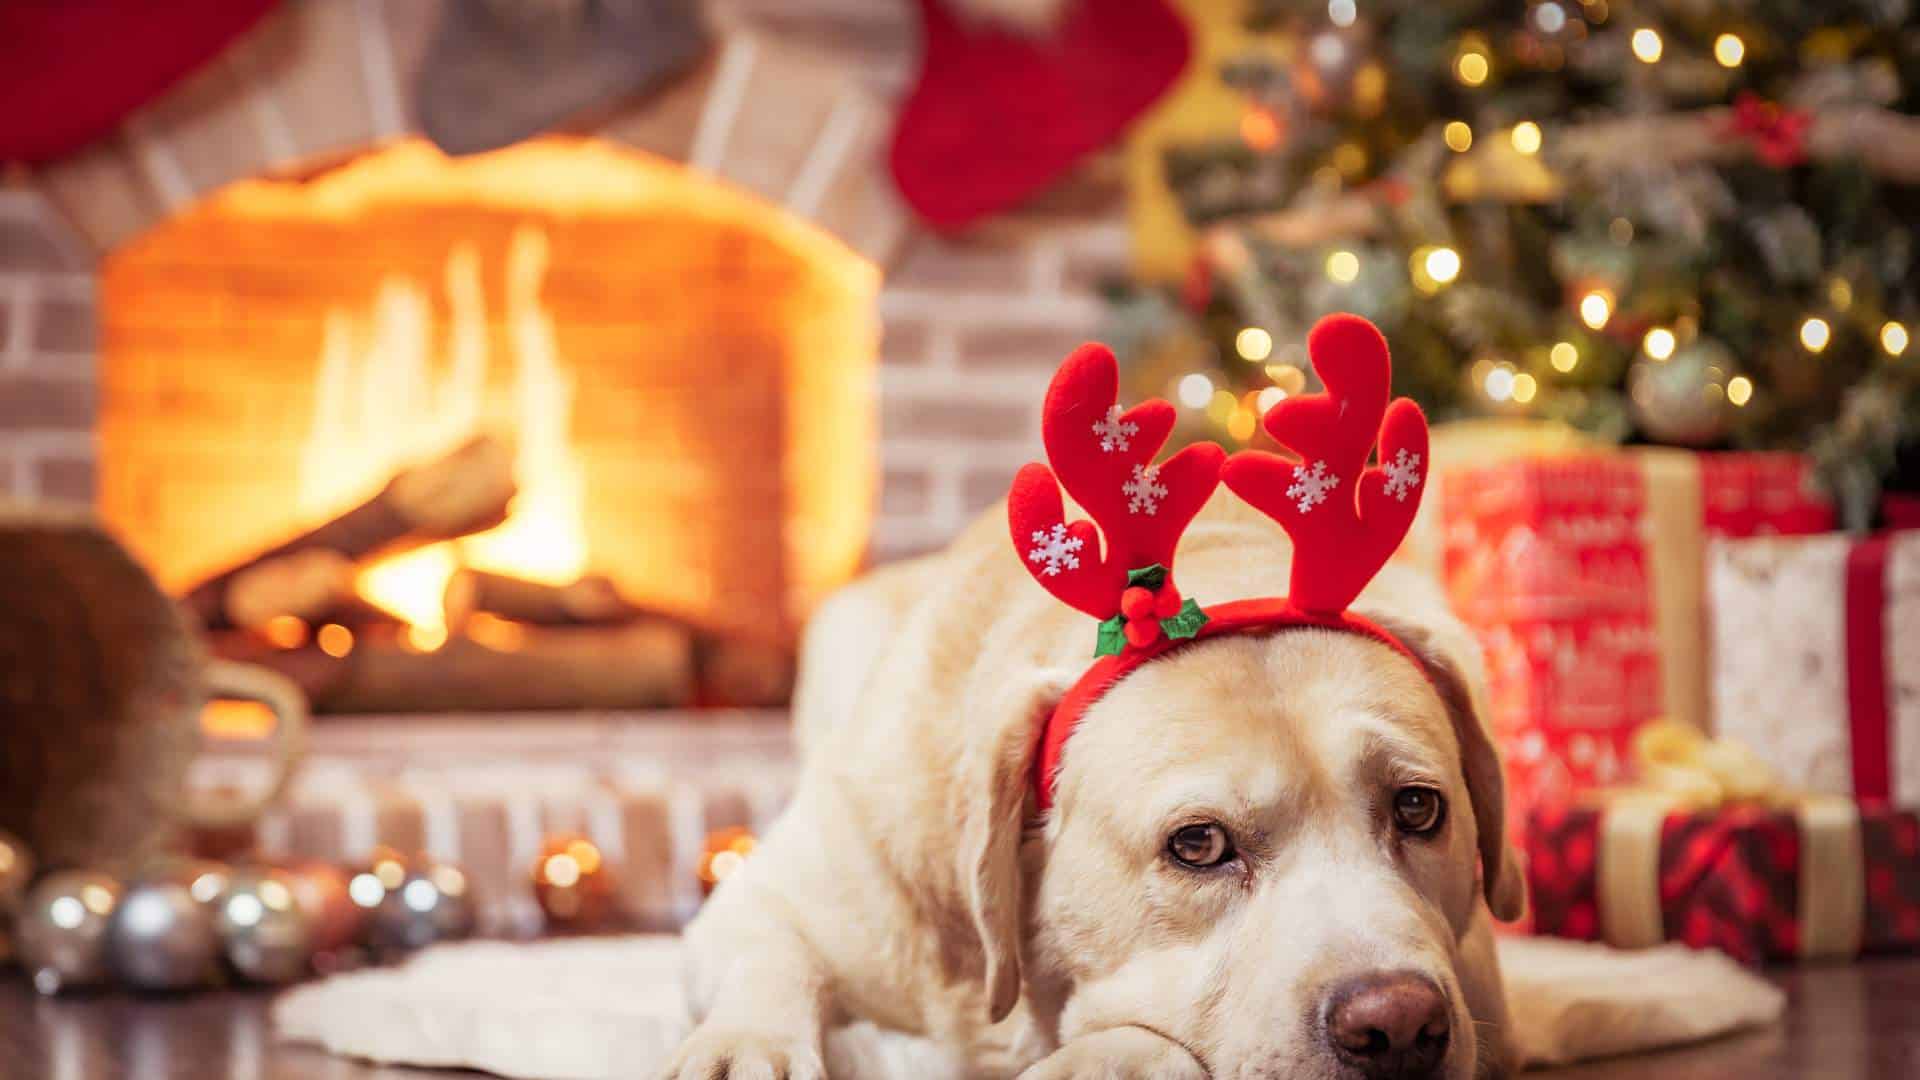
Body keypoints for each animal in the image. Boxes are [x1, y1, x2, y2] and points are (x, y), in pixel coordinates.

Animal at [668, 488, 1520, 1076]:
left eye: (1418, 808)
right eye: (1198, 844)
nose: (1400, 1025)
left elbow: (1140, 1044)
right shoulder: (768, 899)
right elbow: (767, 959)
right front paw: (745, 1044)